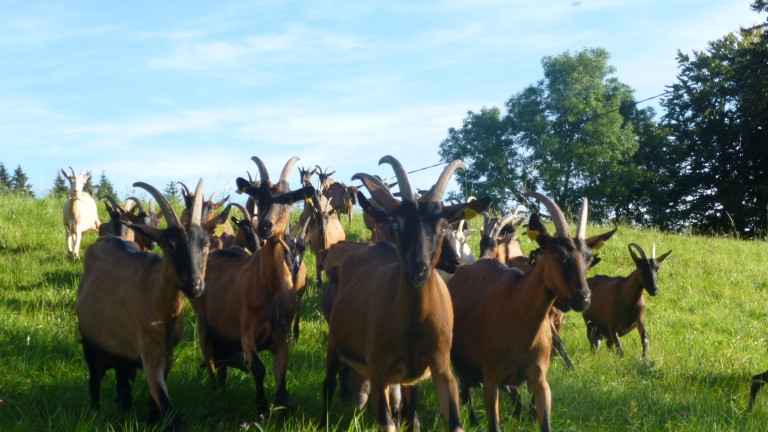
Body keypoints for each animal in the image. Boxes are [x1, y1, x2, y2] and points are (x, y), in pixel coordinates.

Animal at [76, 180, 207, 428]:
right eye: (169, 246)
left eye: (205, 245)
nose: (195, 285)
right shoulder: (150, 355)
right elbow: (169, 411)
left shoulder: (168, 356)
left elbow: (154, 405)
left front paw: (150, 423)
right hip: (88, 342)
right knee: (93, 383)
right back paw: (95, 413)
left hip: (117, 348)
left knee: (121, 384)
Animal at [190, 156, 314, 416]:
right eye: (259, 197)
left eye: (288, 199)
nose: (265, 226)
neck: (270, 288)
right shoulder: (247, 334)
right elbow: (258, 368)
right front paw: (261, 408)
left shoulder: (281, 337)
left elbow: (281, 372)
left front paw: (282, 410)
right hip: (204, 326)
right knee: (211, 363)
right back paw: (215, 396)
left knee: (222, 367)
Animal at [320, 156, 488, 432]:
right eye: (397, 223)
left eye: (443, 226)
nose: (417, 268)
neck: (412, 327)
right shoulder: (378, 370)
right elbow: (387, 422)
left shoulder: (440, 367)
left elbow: (450, 421)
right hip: (335, 344)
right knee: (329, 382)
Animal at [448, 193, 592, 432]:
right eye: (556, 253)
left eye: (588, 257)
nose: (584, 297)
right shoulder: (491, 378)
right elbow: (494, 424)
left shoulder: (540, 379)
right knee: (465, 387)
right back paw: (474, 421)